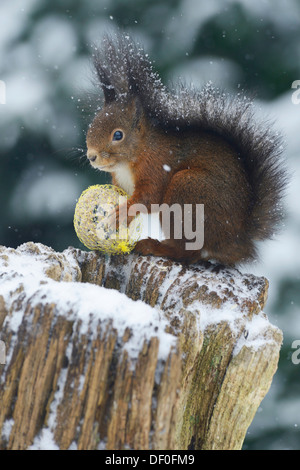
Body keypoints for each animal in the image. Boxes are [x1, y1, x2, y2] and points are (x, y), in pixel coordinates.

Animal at [85, 34, 286, 264]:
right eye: (93, 124)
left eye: (118, 135)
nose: (91, 156)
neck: (132, 158)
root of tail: (236, 239)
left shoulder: (156, 167)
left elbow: (147, 198)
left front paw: (119, 215)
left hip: (187, 193)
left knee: (189, 252)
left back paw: (154, 246)